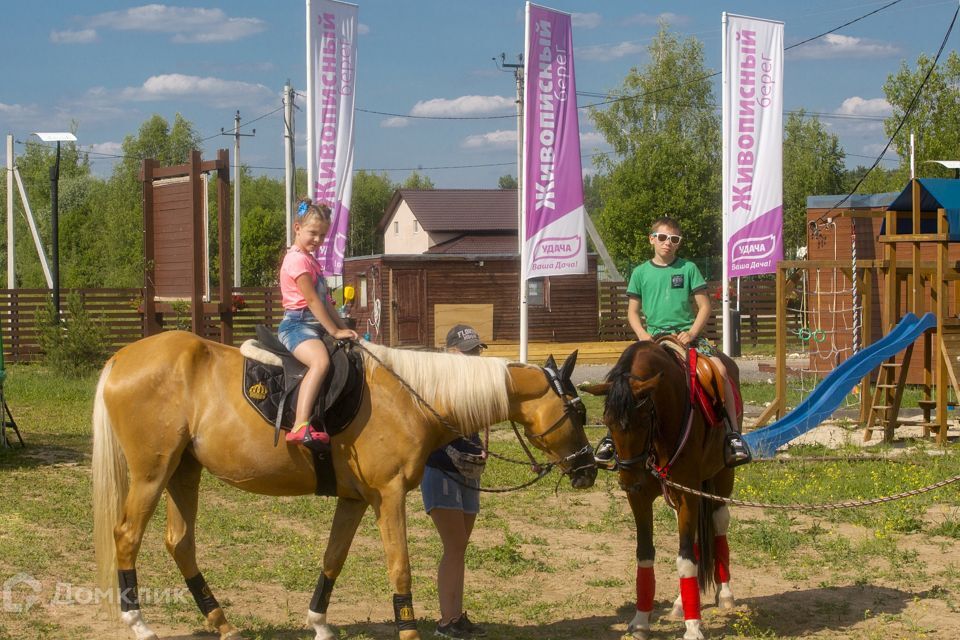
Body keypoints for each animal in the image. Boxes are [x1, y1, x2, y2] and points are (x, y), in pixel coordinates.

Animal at [94, 330, 596, 640]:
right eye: (578, 411)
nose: (589, 468)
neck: (409, 397)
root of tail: (120, 358)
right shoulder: (389, 497)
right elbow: (400, 567)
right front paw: (408, 628)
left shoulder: (355, 500)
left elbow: (333, 559)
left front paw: (319, 622)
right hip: (153, 474)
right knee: (127, 536)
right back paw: (138, 621)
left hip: (183, 472)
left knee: (180, 543)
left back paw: (222, 623)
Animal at [580, 342, 740, 640]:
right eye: (607, 421)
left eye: (644, 419)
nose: (628, 479)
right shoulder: (640, 497)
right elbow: (645, 554)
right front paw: (641, 622)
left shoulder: (688, 493)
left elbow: (686, 560)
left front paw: (693, 627)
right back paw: (680, 603)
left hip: (723, 475)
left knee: (718, 523)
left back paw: (725, 594)